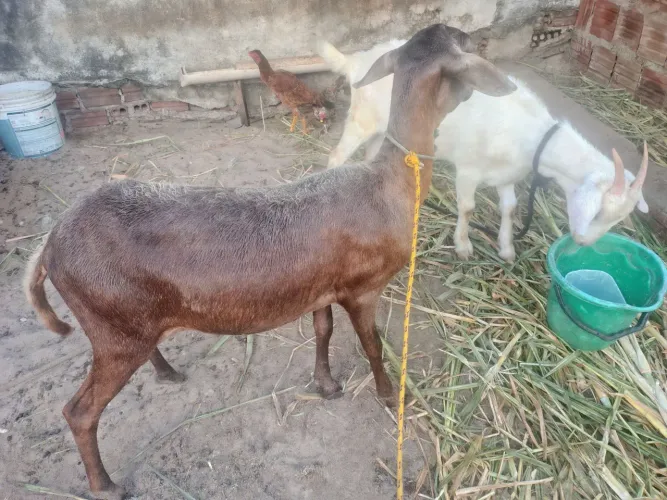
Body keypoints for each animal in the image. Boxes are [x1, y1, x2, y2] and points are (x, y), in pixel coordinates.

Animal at [24, 24, 516, 500]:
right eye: (464, 44)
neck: (392, 183)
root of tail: (48, 247)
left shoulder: (324, 286)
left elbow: (323, 330)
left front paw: (327, 385)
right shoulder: (362, 287)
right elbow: (372, 346)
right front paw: (389, 394)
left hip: (126, 321)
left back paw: (168, 373)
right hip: (111, 327)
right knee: (79, 412)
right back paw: (105, 485)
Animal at [320, 40, 649, 262]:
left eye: (619, 218)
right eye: (599, 211)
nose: (583, 243)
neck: (530, 134)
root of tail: (356, 62)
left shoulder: (506, 176)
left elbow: (510, 208)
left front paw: (506, 249)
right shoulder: (468, 170)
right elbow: (467, 207)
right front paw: (463, 246)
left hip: (383, 130)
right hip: (362, 120)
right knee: (336, 156)